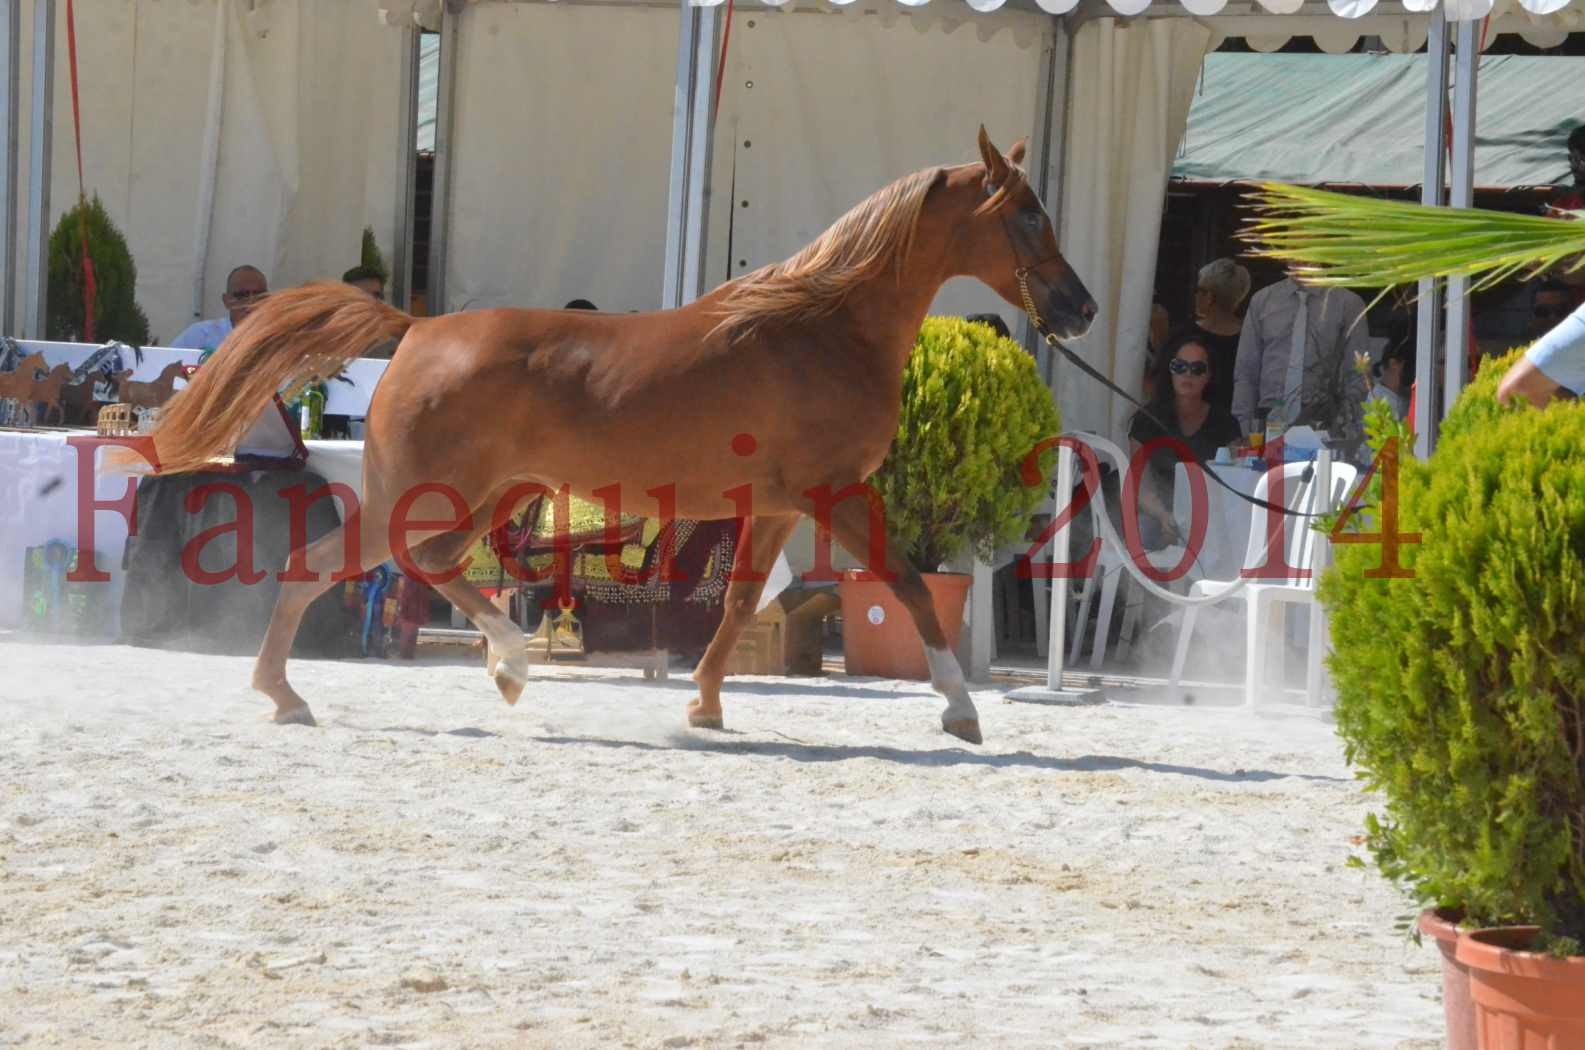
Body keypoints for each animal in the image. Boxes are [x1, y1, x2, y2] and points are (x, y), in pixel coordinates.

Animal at [142, 127, 1096, 745]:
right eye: (1026, 217)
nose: (1080, 308)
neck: (821, 329)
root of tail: (415, 329)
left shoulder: (779, 505)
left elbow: (739, 604)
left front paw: (704, 707)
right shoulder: (837, 492)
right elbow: (906, 585)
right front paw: (959, 711)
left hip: (487, 496)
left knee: (423, 564)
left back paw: (491, 666)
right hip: (422, 494)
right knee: (334, 565)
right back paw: (306, 691)